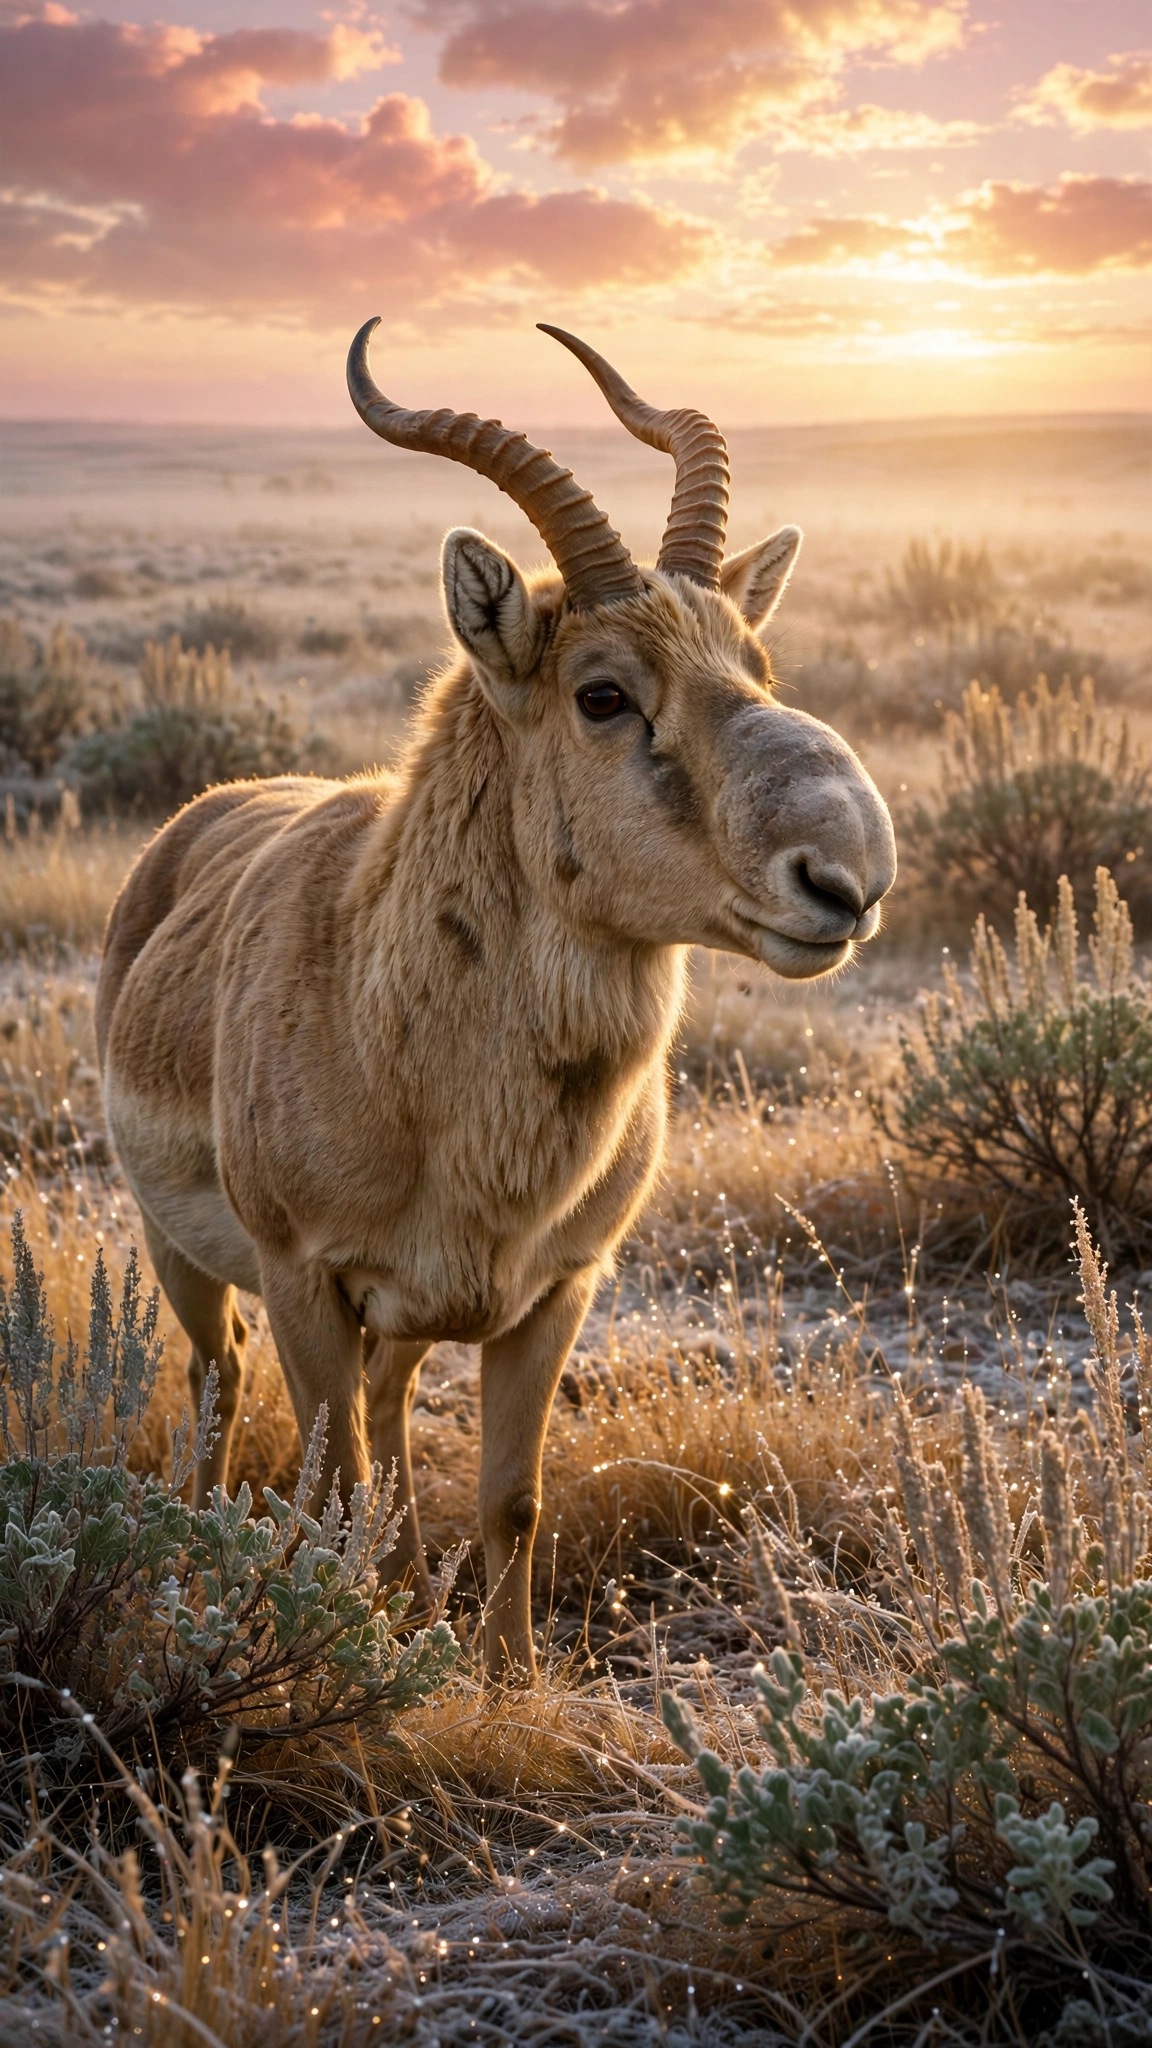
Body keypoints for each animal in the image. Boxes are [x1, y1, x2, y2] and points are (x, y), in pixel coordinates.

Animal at [96, 320, 896, 1680]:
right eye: (602, 690)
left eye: (754, 662)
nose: (842, 876)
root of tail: (200, 818)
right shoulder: (306, 1280)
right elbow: (337, 1488)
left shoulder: (554, 1290)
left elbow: (509, 1500)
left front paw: (506, 1680)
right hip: (181, 1252)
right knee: (219, 1380)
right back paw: (193, 1556)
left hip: (407, 1317)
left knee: (383, 1408)